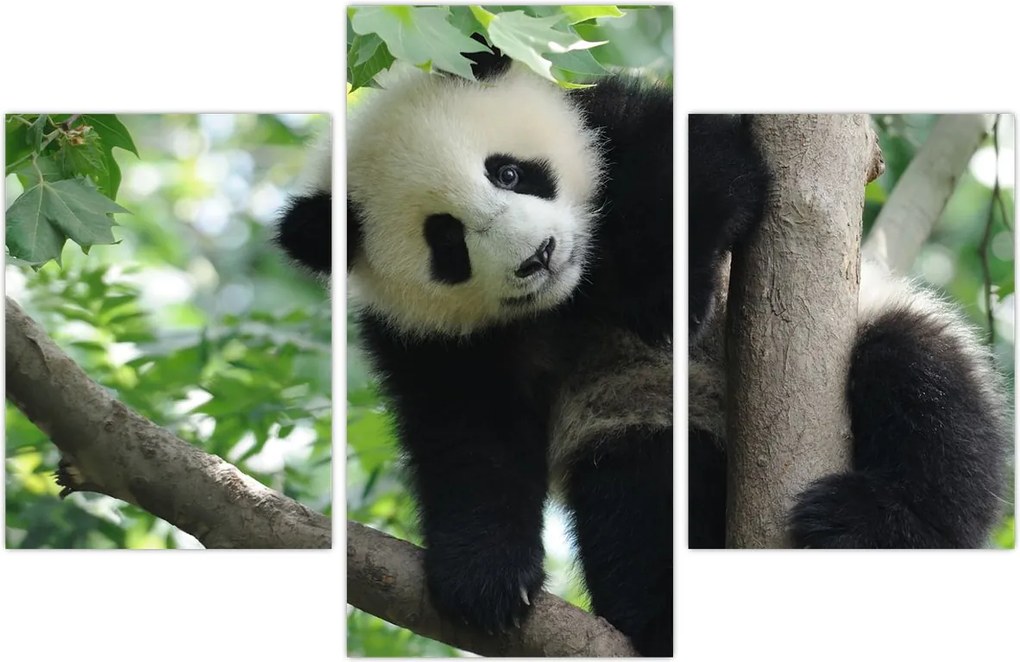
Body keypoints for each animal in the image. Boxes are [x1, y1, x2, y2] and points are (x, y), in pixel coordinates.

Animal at [279, 50, 673, 656]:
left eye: (507, 173)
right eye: (447, 242)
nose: (539, 256)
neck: (564, 300)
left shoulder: (615, 123)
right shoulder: (429, 341)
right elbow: (471, 439)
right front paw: (487, 582)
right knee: (641, 498)